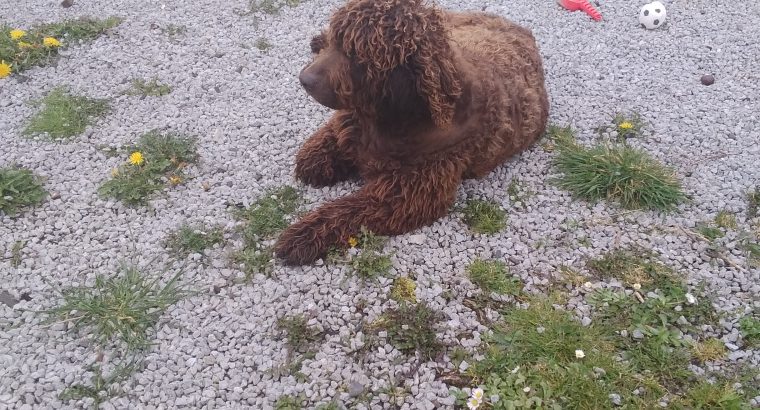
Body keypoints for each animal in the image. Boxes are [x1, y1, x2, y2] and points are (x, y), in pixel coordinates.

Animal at [276, 0, 548, 266]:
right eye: (337, 39)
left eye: (356, 54)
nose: (304, 79)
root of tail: (522, 29)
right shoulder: (353, 124)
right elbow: (321, 149)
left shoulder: (407, 192)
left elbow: (349, 209)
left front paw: (303, 235)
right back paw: (316, 40)